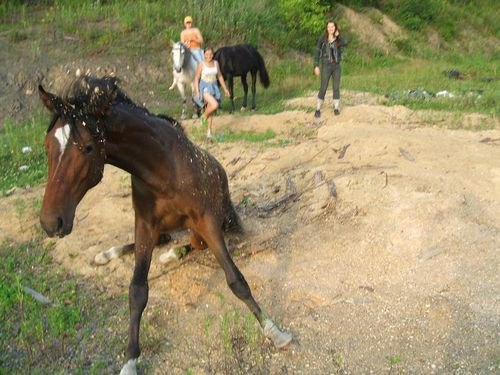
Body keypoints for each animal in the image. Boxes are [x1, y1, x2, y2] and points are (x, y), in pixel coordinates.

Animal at [39, 75, 292, 374]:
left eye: (88, 148)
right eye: (47, 146)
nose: (50, 222)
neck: (163, 169)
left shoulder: (206, 221)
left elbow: (236, 280)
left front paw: (275, 331)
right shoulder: (145, 224)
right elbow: (137, 291)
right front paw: (130, 360)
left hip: (206, 227)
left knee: (191, 245)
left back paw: (170, 254)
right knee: (165, 241)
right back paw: (107, 255)